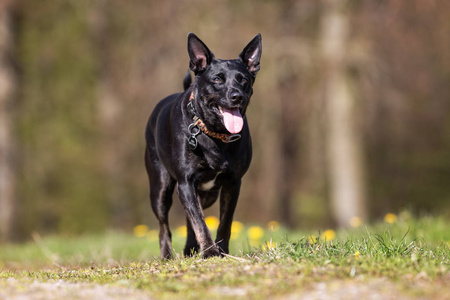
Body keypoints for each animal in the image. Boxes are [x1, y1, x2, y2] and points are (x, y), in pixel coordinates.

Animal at [146, 32, 262, 258]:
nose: (237, 96)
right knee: (164, 226)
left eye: (243, 79)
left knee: (188, 217)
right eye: (217, 79)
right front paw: (209, 252)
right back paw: (167, 256)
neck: (215, 134)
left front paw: (222, 251)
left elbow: (224, 223)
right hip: (160, 188)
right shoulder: (186, 182)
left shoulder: (233, 183)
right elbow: (200, 222)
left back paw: (190, 249)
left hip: (208, 194)